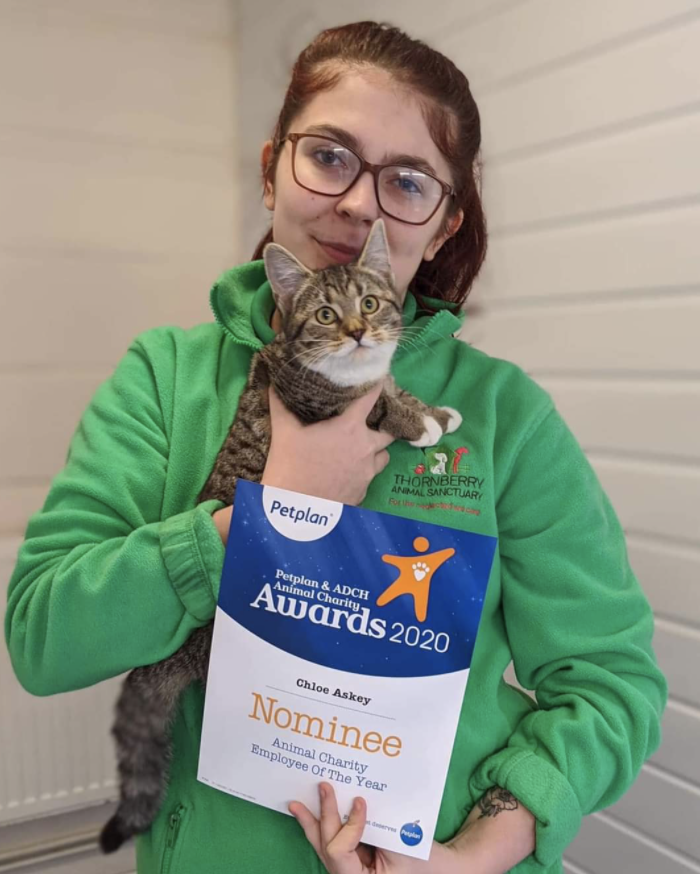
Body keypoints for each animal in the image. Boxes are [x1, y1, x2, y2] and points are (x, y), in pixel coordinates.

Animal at [98, 220, 460, 852]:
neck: (346, 374)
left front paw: (435, 411)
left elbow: (392, 386)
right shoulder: (315, 403)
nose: (358, 332)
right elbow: (378, 408)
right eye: (325, 315)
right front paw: (417, 422)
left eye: (369, 304)